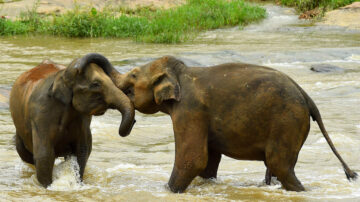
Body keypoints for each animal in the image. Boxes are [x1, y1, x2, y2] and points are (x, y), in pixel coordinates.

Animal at [10, 52, 136, 187]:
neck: (61, 76)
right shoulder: (40, 115)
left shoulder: (83, 119)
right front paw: (49, 187)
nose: (134, 122)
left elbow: (82, 150)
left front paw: (77, 184)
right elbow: (44, 156)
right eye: (95, 84)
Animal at [116, 55, 358, 193]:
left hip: (288, 121)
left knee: (280, 165)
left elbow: (193, 159)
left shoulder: (190, 110)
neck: (181, 73)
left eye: (134, 75)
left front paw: (167, 191)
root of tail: (306, 96)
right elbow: (208, 162)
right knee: (277, 166)